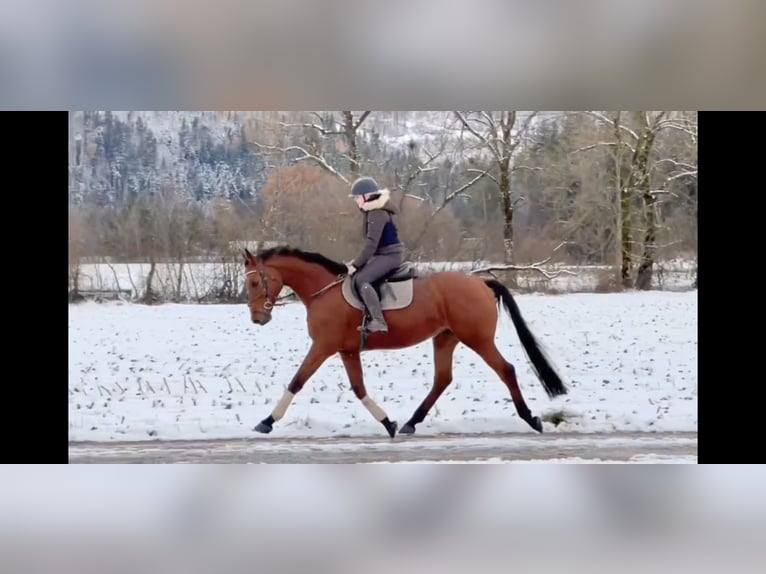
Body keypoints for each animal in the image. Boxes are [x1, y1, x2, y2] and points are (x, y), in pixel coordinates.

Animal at [243, 245, 568, 438]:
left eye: (255, 282)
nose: (258, 318)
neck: (324, 291)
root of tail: (481, 283)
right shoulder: (347, 351)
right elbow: (359, 388)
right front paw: (389, 423)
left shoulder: (323, 347)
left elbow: (297, 381)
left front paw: (267, 421)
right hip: (445, 339)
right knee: (442, 379)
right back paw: (412, 422)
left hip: (478, 339)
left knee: (506, 370)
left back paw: (531, 418)